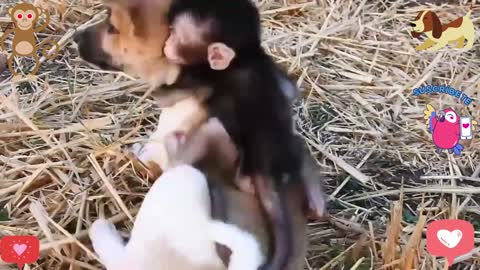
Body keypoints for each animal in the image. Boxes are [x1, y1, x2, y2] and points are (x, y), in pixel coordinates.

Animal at [161, 0, 326, 268]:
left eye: (176, 34)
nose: (166, 44)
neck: (243, 59)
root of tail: (271, 174)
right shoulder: (267, 65)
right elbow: (290, 90)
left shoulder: (201, 76)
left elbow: (168, 95)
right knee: (298, 146)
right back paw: (315, 193)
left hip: (243, 167)